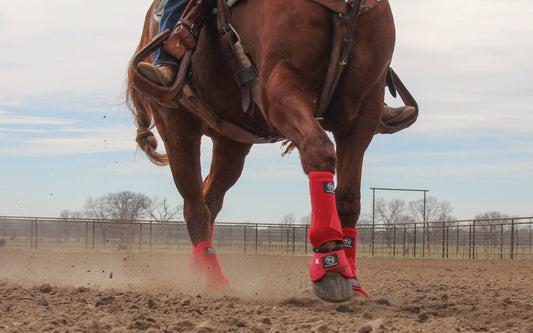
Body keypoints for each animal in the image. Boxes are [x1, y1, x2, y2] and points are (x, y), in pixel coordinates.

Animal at [128, 0, 394, 300]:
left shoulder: (365, 110)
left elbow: (349, 198)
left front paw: (353, 279)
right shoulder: (279, 87)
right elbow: (319, 150)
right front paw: (331, 264)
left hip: (231, 143)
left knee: (210, 201)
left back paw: (197, 267)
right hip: (176, 125)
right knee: (195, 207)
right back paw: (216, 280)